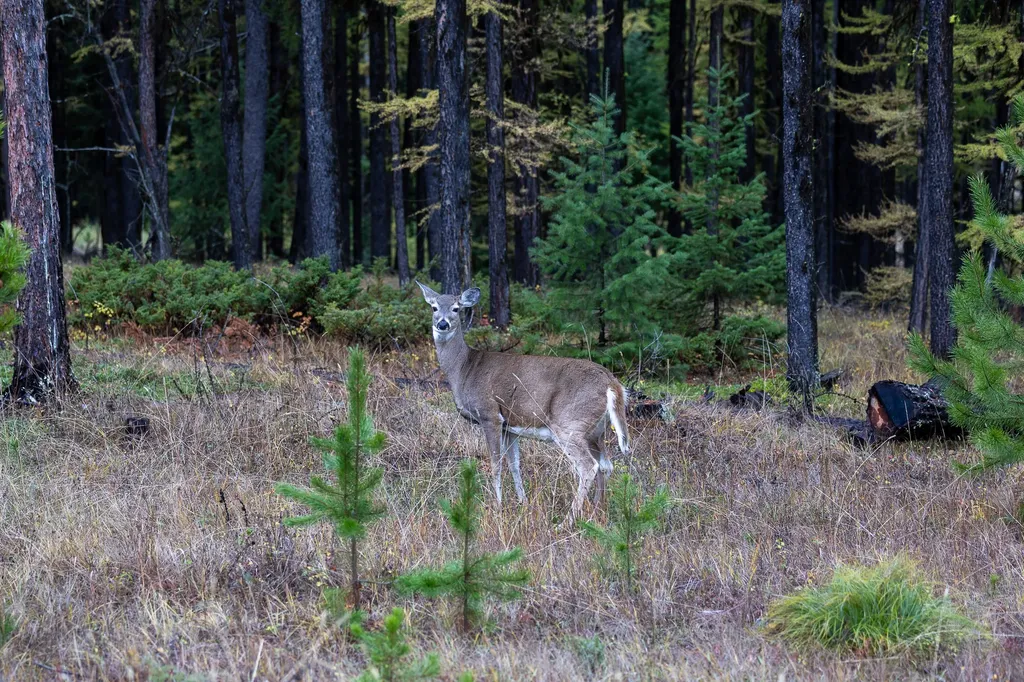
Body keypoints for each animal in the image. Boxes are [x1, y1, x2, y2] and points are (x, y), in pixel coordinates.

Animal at [416, 281, 630, 522]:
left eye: (456, 308)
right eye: (434, 307)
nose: (442, 324)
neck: (464, 369)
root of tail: (612, 384)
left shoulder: (490, 415)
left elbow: (495, 464)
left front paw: (498, 506)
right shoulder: (509, 426)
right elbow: (514, 465)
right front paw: (523, 503)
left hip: (569, 423)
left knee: (588, 467)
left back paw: (567, 520)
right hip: (596, 431)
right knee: (606, 465)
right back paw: (597, 511)